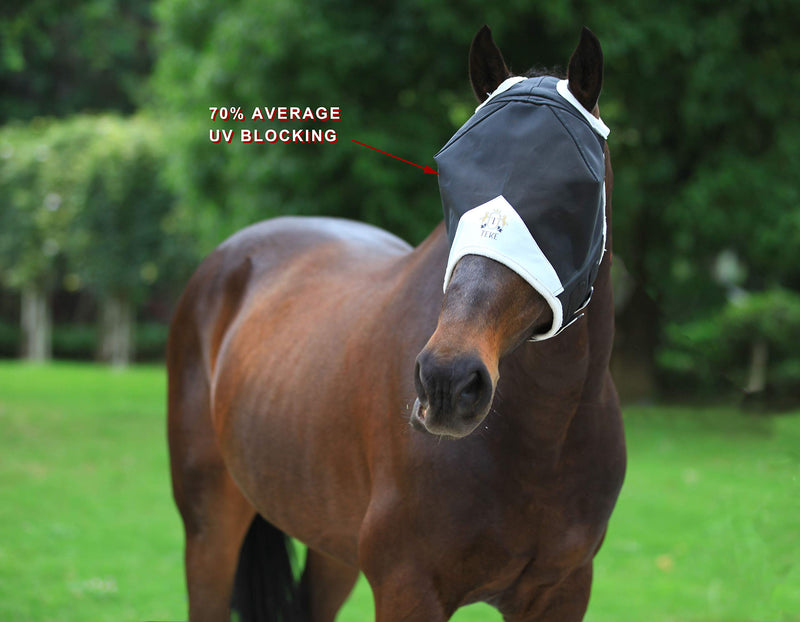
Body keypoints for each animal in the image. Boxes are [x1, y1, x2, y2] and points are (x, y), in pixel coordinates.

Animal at [167, 25, 626, 622]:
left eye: (573, 186)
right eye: (451, 172)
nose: (447, 382)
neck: (544, 438)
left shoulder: (563, 591)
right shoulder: (408, 586)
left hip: (329, 545)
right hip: (210, 531)